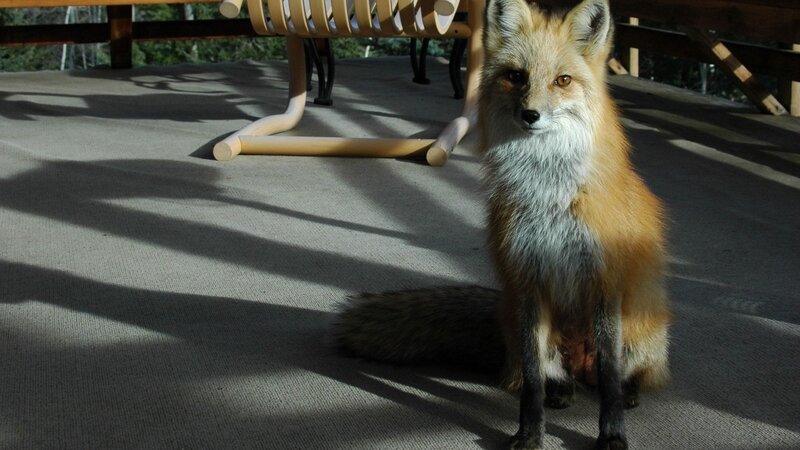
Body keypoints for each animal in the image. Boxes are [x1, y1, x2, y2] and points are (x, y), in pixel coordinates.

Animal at [334, 0, 671, 449]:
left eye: (563, 80)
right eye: (516, 76)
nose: (531, 115)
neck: (548, 196)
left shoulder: (605, 282)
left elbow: (611, 378)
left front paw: (612, 435)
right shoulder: (528, 279)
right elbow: (530, 381)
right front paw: (529, 434)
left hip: (640, 328)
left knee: (622, 375)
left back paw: (627, 392)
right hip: (522, 320)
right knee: (547, 376)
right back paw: (561, 391)